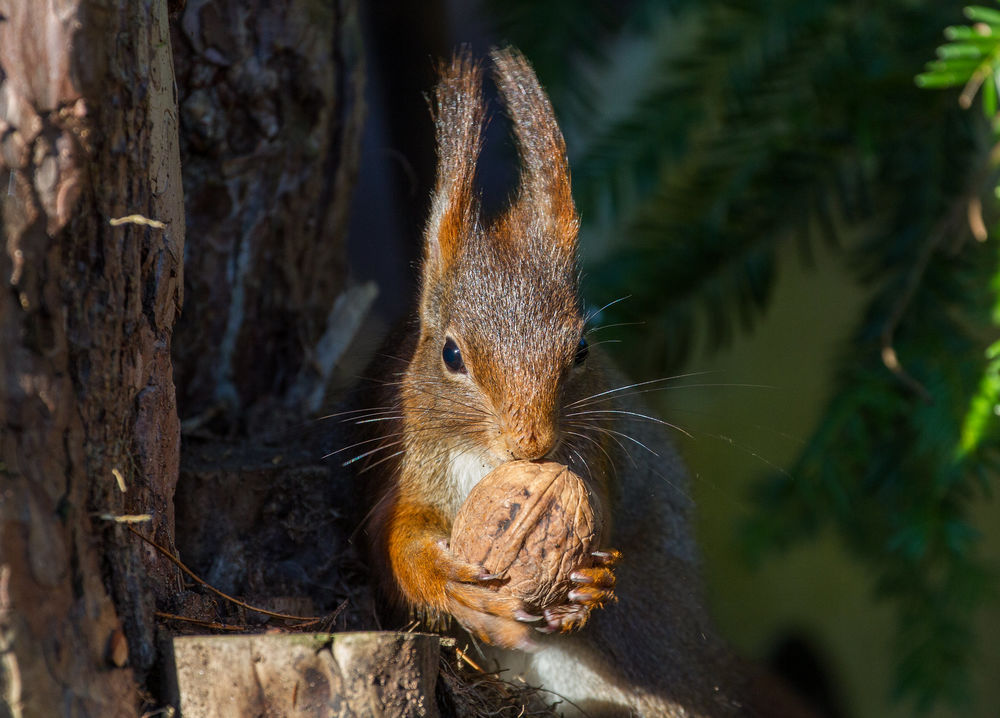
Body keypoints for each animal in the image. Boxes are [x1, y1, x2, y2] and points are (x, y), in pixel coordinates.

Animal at [358, 47, 817, 718]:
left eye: (580, 350)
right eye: (449, 354)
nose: (530, 444)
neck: (488, 464)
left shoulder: (595, 456)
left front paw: (589, 581)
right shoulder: (409, 466)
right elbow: (398, 545)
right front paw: (451, 584)